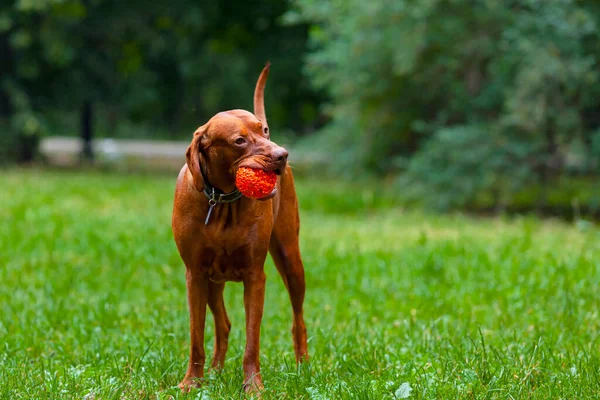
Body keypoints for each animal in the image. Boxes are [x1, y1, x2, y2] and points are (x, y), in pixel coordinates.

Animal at [170, 64, 308, 392]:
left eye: (263, 131)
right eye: (239, 141)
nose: (282, 155)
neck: (222, 202)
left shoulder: (255, 276)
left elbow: (252, 342)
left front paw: (253, 386)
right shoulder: (194, 275)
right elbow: (196, 339)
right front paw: (191, 382)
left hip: (291, 260)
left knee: (298, 319)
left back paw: (303, 366)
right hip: (212, 282)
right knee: (223, 323)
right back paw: (215, 371)